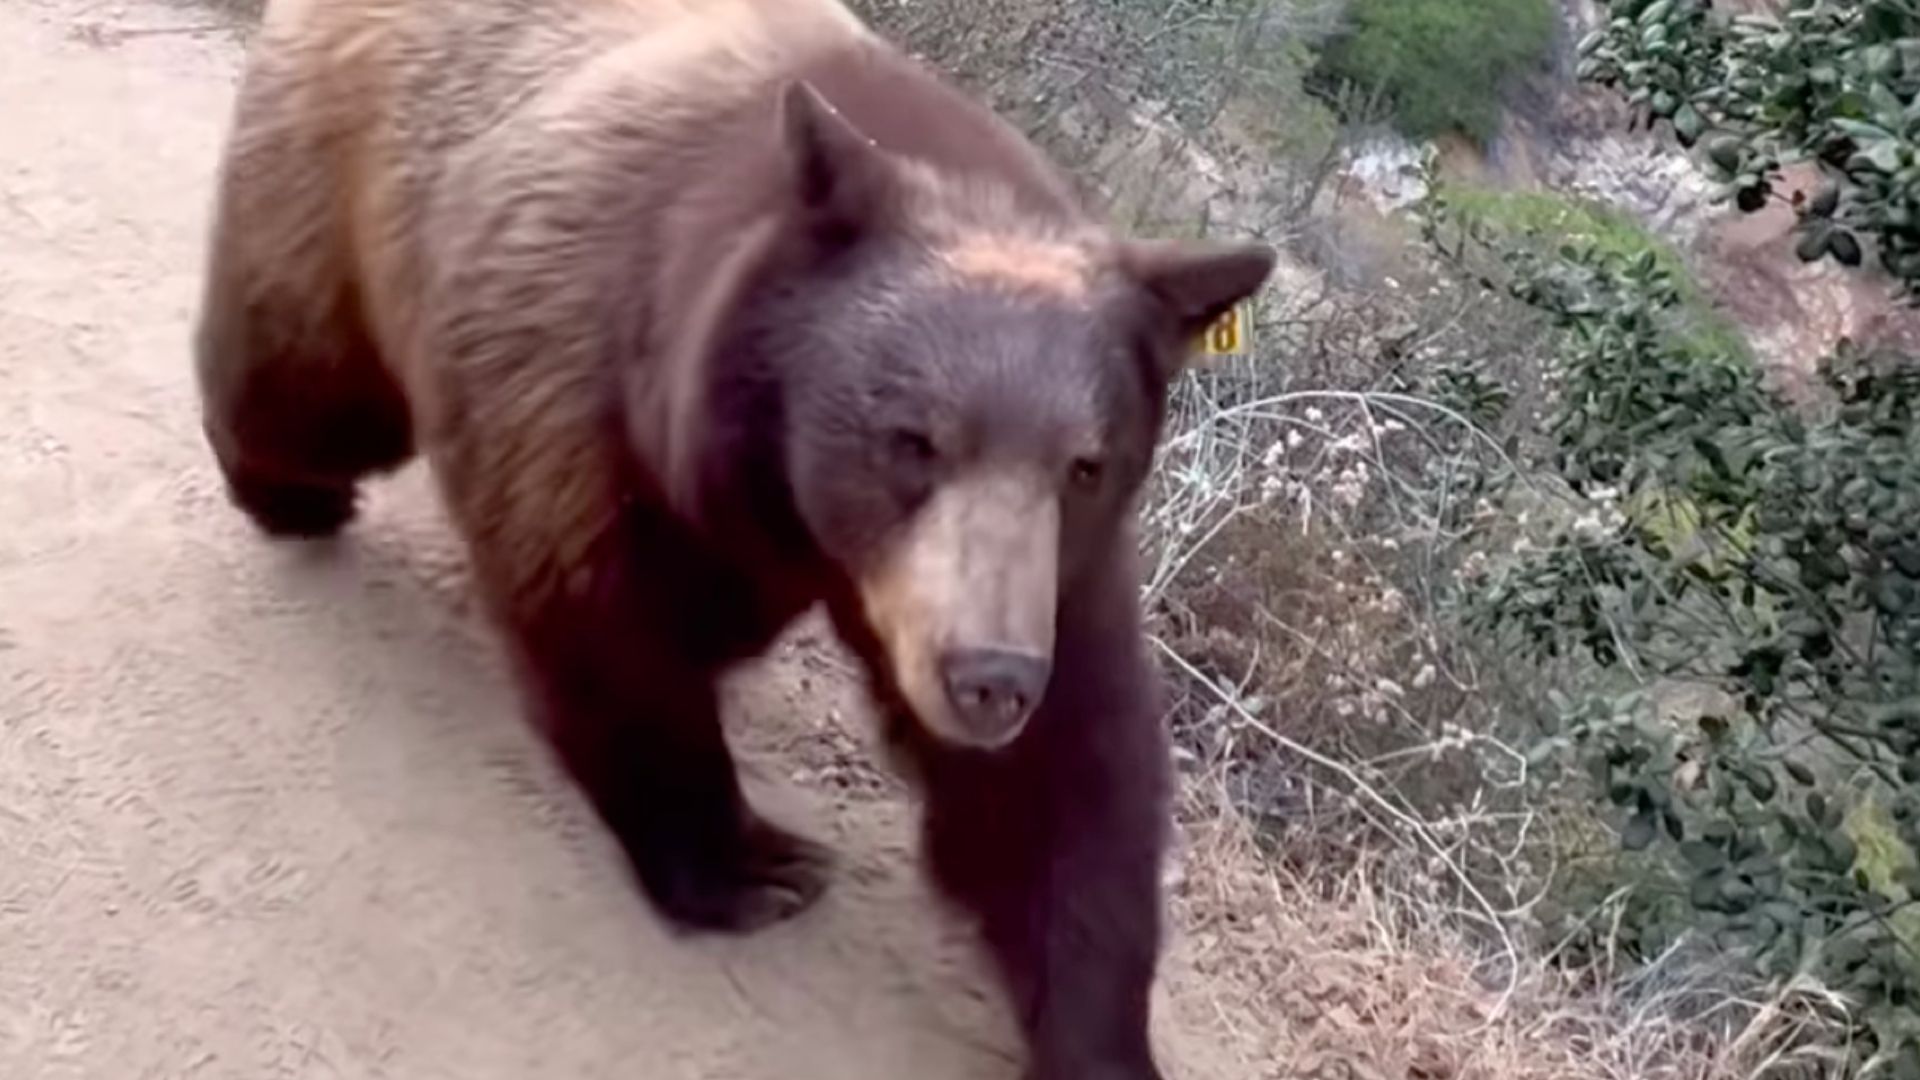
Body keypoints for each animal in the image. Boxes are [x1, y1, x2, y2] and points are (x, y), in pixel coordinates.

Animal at [193, 1, 1276, 1077]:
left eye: (1085, 464)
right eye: (911, 439)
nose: (988, 679)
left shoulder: (1052, 566)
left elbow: (1066, 779)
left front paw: (1098, 1037)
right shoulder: (583, 384)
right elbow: (604, 621)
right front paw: (753, 864)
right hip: (347, 181)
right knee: (310, 379)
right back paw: (285, 488)